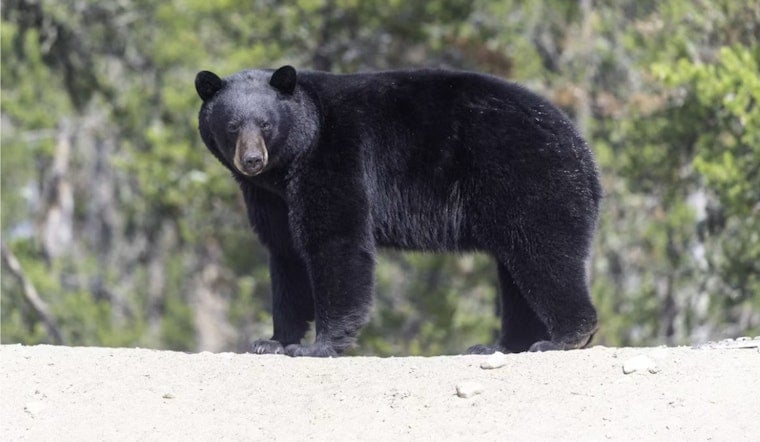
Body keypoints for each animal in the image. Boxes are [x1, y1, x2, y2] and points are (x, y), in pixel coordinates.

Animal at [195, 65, 601, 357]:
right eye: (232, 126)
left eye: (266, 124)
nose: (251, 160)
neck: (290, 161)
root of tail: (583, 152)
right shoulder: (270, 198)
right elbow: (286, 255)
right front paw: (272, 341)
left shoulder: (335, 157)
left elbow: (336, 240)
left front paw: (318, 346)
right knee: (516, 272)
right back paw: (499, 345)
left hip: (528, 179)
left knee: (544, 254)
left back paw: (563, 338)